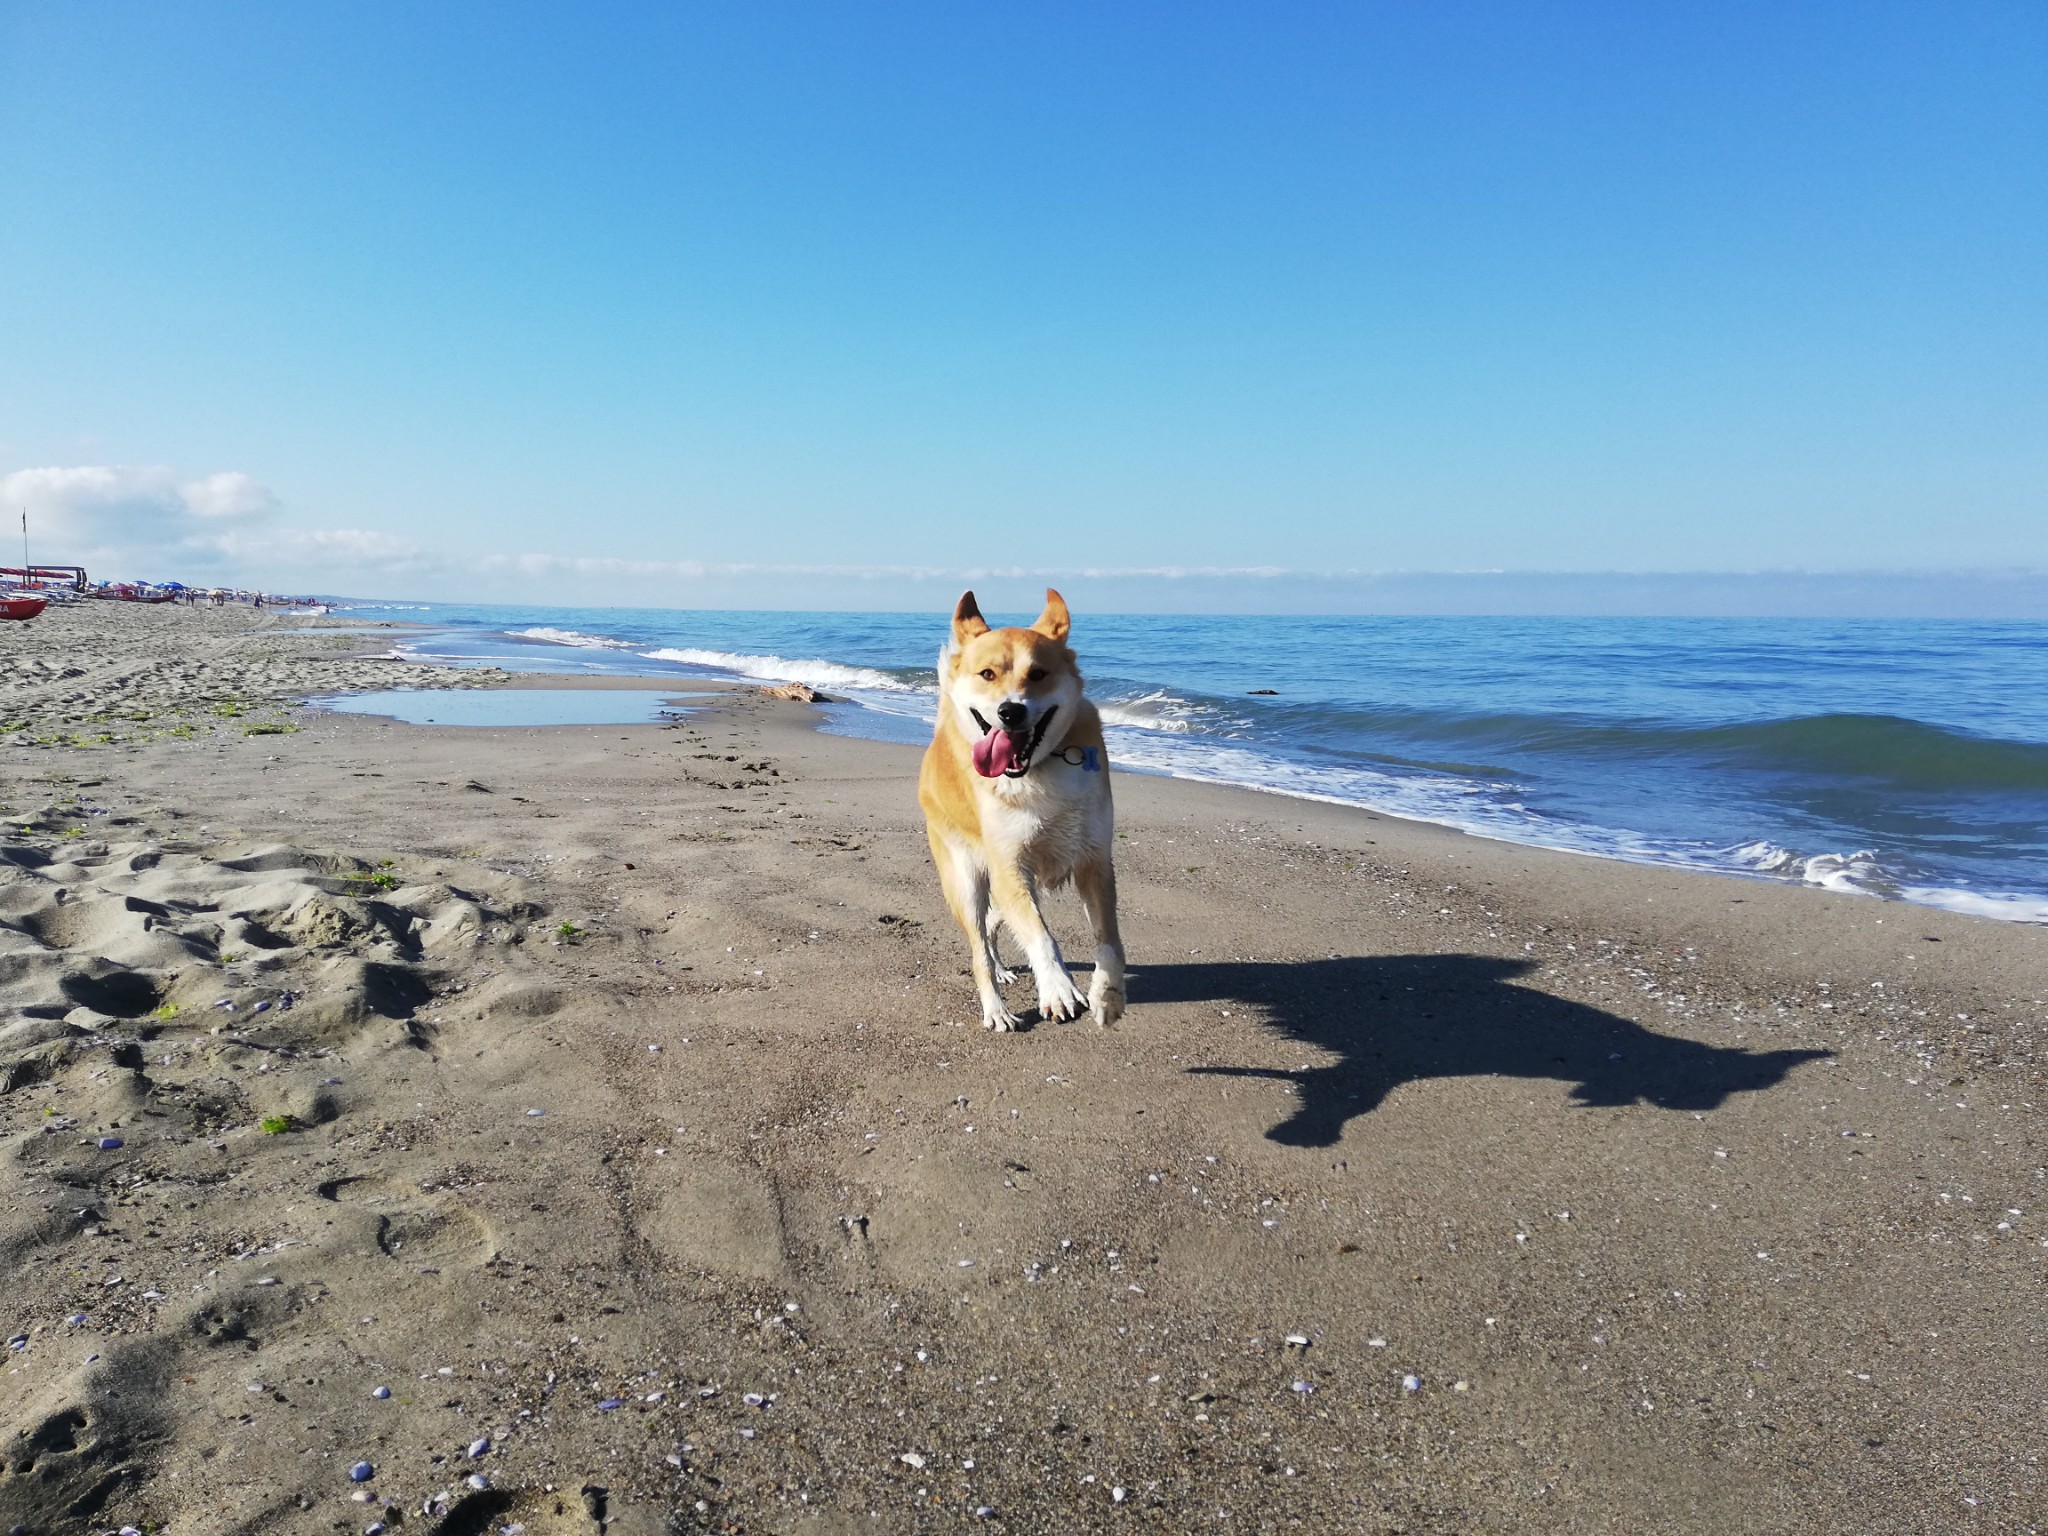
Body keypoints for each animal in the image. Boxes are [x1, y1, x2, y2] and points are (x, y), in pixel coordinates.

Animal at [918, 588, 1126, 1032]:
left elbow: (1110, 941)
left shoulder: (1095, 863)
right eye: (987, 674)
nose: (1010, 712)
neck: (1039, 769)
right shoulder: (1009, 866)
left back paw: (1002, 968)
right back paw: (996, 1008)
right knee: (979, 946)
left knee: (995, 924)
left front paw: (1108, 996)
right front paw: (1058, 987)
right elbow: (1041, 936)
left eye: (1038, 674)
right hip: (967, 881)